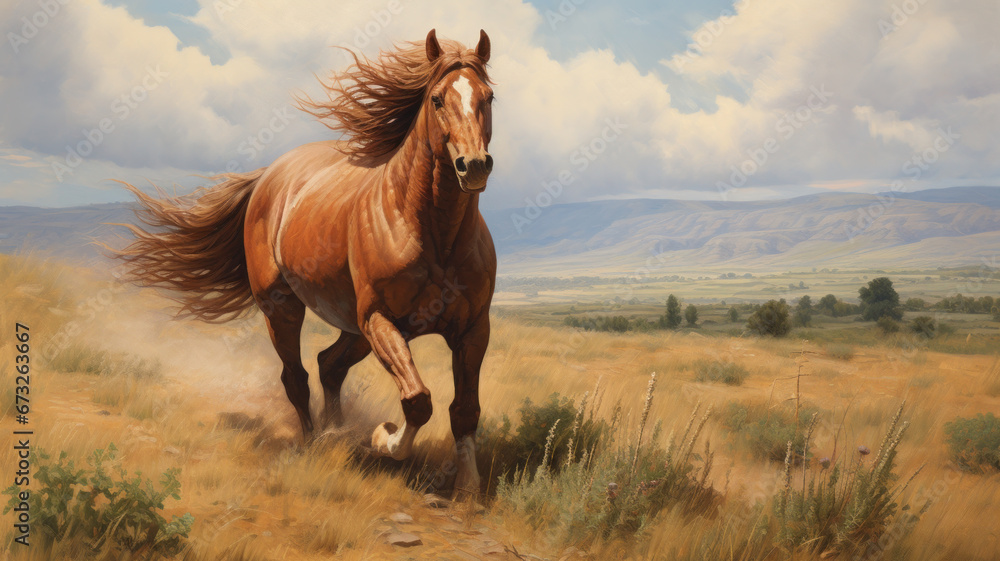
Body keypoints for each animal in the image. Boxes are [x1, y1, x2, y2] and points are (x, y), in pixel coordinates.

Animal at [114, 29, 496, 499]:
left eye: (489, 98)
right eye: (438, 99)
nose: (473, 166)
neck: (433, 234)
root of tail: (268, 176)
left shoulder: (472, 329)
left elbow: (465, 410)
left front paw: (468, 487)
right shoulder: (380, 319)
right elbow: (417, 401)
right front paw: (382, 438)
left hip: (353, 328)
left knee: (328, 365)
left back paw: (338, 435)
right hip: (286, 309)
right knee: (296, 376)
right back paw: (318, 442)